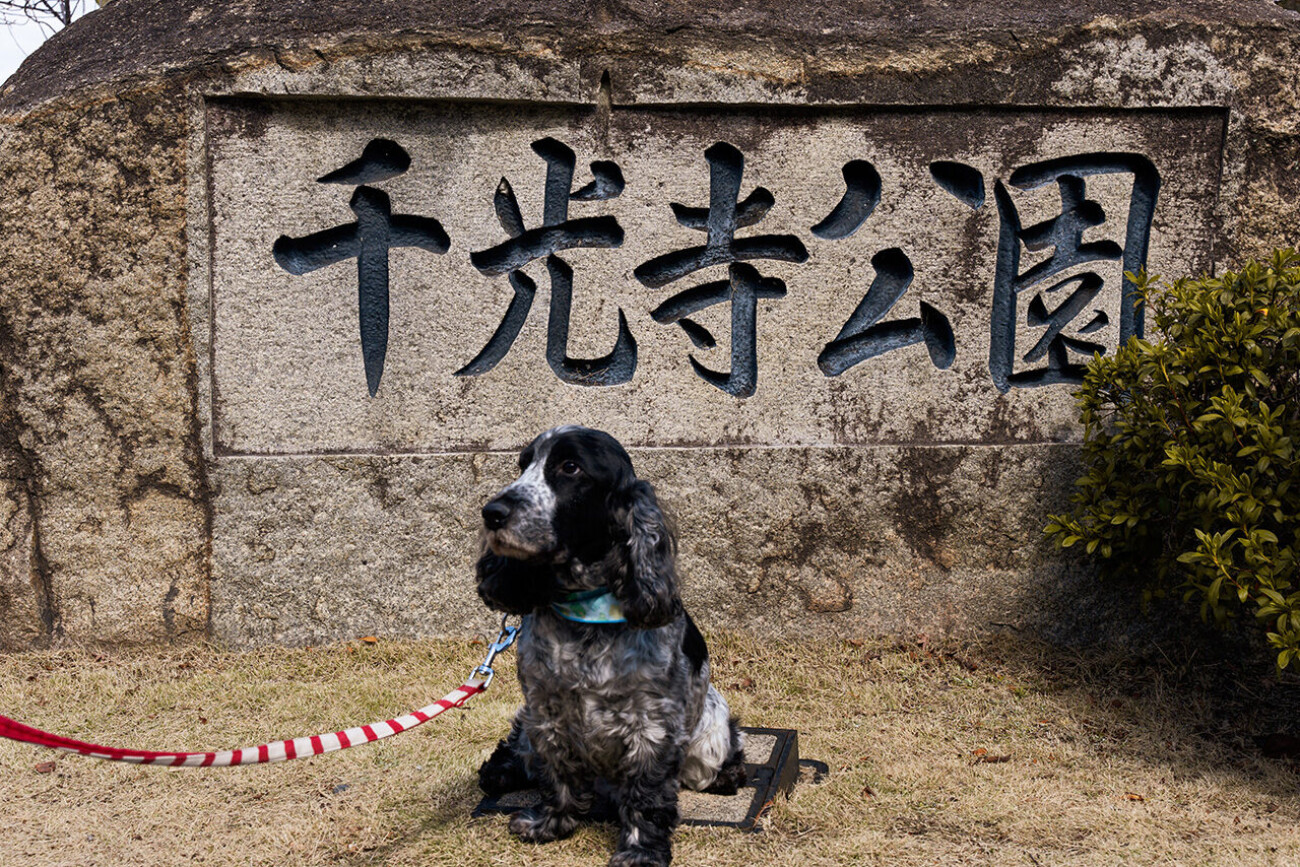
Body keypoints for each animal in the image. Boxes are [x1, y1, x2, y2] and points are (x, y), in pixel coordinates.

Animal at [475, 425, 746, 867]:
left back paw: (729, 775)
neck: (585, 609)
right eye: (523, 465)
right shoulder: (546, 712)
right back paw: (499, 772)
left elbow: (646, 796)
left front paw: (640, 851)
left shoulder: (652, 725)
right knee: (519, 748)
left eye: (570, 467)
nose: (492, 512)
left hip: (710, 729)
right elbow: (557, 774)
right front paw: (550, 822)